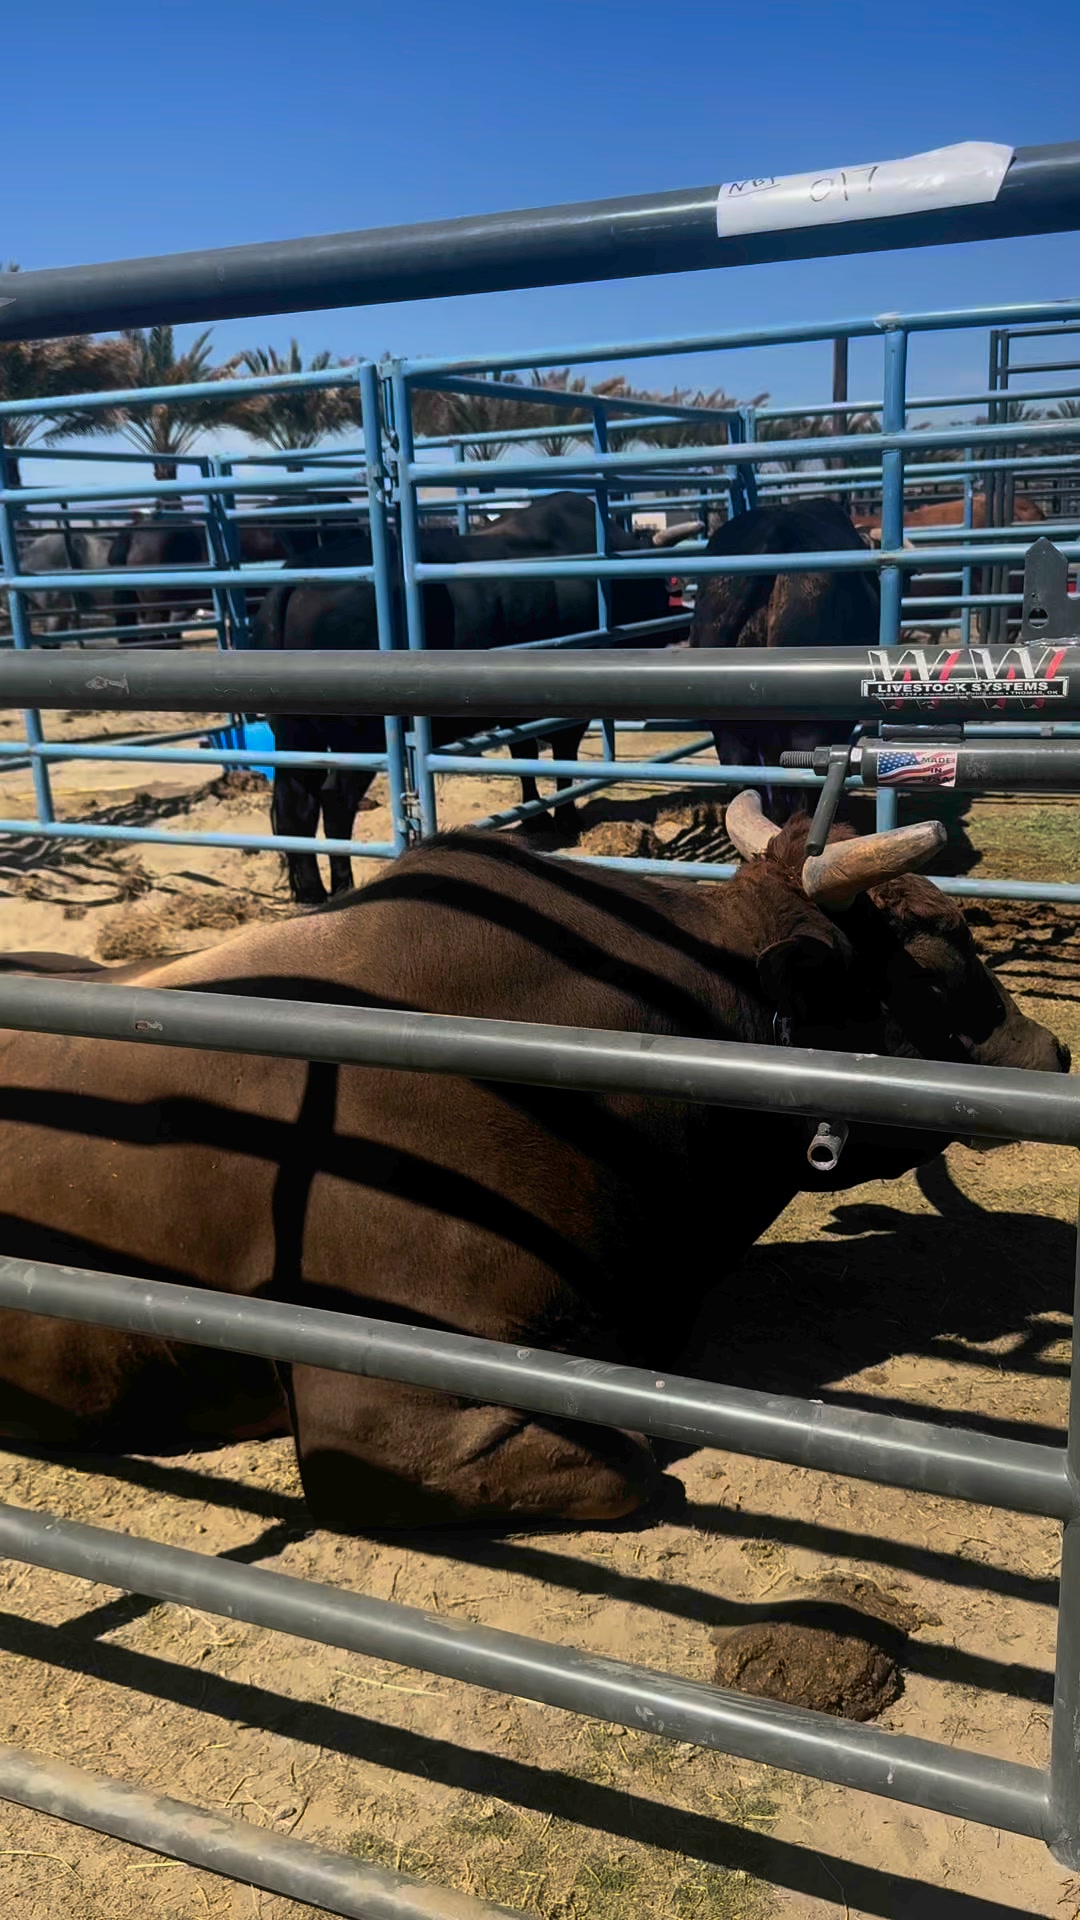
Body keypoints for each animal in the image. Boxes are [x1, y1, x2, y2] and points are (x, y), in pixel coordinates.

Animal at [252, 493, 687, 906]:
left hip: (296, 735)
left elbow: (523, 755)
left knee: (294, 807)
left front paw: (534, 818)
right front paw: (566, 817)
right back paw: (342, 885)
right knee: (334, 802)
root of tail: (296, 580)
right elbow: (562, 758)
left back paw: (309, 890)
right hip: (361, 738)